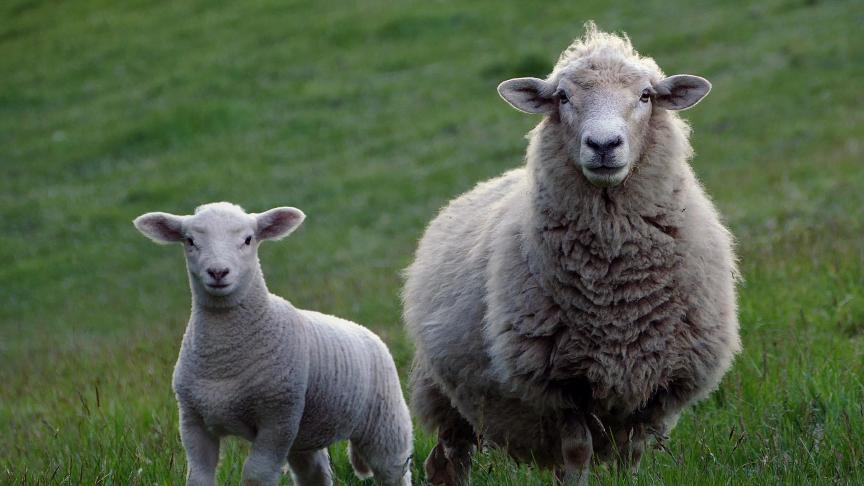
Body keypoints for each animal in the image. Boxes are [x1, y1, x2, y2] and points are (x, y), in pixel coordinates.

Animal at [133, 202, 412, 486]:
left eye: (248, 239)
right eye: (190, 241)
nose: (218, 272)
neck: (223, 358)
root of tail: (367, 332)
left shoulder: (278, 419)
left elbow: (256, 474)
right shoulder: (192, 420)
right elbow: (199, 477)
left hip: (386, 424)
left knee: (393, 470)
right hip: (304, 435)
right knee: (314, 474)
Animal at [403, 23, 740, 485]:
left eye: (646, 95)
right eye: (562, 97)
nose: (603, 144)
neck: (617, 287)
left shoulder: (654, 385)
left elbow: (631, 455)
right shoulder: (560, 386)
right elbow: (577, 454)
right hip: (446, 395)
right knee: (449, 462)